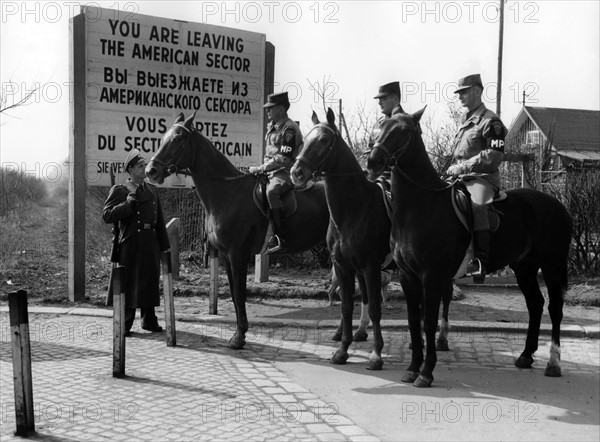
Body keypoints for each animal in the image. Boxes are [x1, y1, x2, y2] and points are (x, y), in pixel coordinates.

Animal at [147, 113, 330, 348]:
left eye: (178, 139)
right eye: (162, 138)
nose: (151, 171)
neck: (228, 193)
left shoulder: (238, 253)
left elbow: (240, 292)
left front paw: (239, 336)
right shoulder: (226, 255)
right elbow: (234, 294)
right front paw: (238, 333)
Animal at [290, 108, 394, 370]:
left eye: (324, 140)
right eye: (305, 139)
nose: (297, 173)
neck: (355, 208)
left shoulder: (371, 266)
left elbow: (375, 307)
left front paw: (377, 355)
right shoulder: (343, 265)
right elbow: (347, 306)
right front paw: (342, 351)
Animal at [366, 109, 572, 388]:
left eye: (405, 131)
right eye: (382, 126)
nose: (373, 161)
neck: (421, 207)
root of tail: (558, 205)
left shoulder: (431, 276)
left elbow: (428, 322)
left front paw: (426, 372)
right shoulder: (408, 277)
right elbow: (413, 322)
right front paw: (411, 368)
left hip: (552, 266)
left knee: (554, 308)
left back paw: (553, 363)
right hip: (524, 268)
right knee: (536, 305)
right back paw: (526, 356)